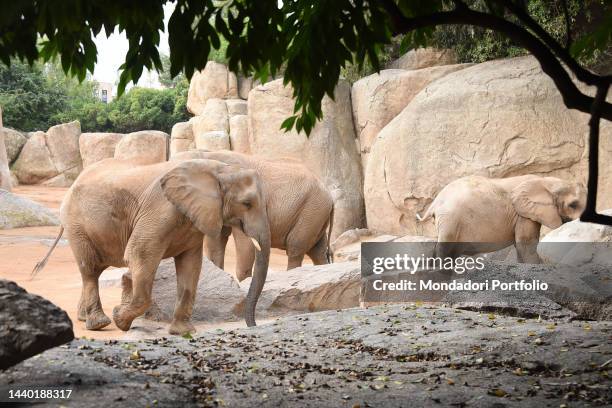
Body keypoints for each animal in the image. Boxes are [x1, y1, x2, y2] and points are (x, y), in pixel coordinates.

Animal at [32, 158, 272, 334]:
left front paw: (184, 332)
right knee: (90, 269)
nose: (253, 326)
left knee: (95, 269)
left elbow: (190, 266)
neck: (218, 169)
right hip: (76, 224)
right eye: (247, 204)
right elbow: (140, 254)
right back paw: (100, 324)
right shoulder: (159, 210)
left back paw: (84, 318)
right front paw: (121, 319)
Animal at [171, 150, 334, 280]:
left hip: (311, 211)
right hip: (315, 214)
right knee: (317, 251)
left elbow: (245, 242)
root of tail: (330, 197)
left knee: (295, 248)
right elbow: (216, 242)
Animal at [418, 175, 584, 262]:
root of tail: (435, 203)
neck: (547, 181)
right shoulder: (523, 214)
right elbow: (527, 244)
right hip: (450, 220)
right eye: (573, 205)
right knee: (445, 246)